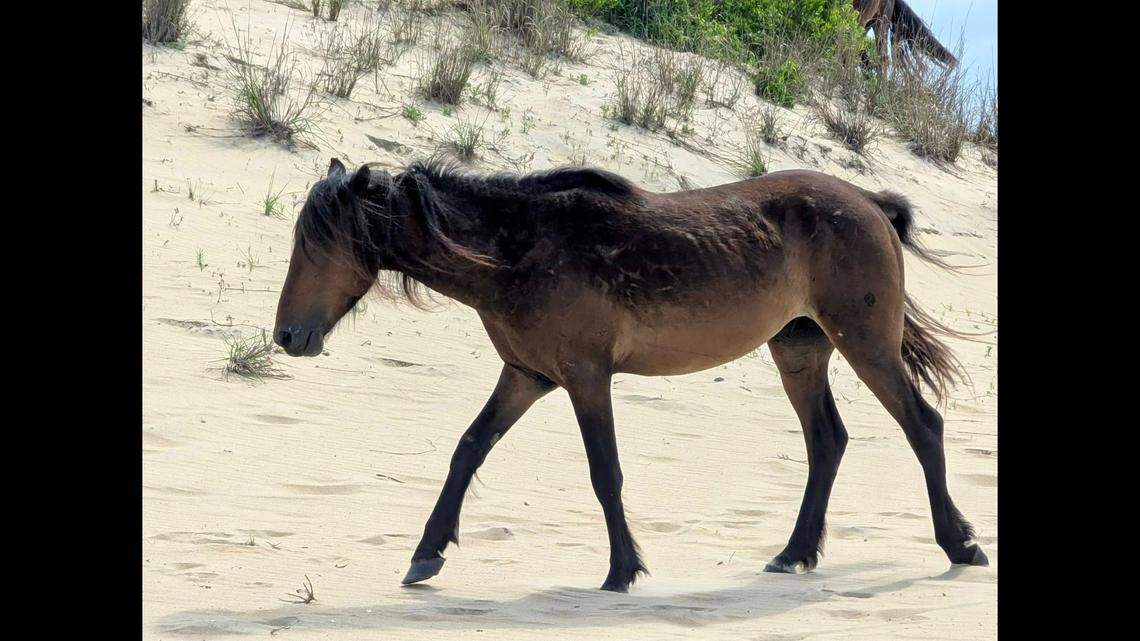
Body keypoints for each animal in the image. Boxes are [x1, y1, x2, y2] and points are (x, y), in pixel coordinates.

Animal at [273, 157, 989, 592]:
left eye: (320, 244)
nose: (286, 337)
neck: (519, 249)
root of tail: (867, 200)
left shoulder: (586, 378)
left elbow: (604, 473)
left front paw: (622, 570)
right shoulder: (525, 375)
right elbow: (468, 450)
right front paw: (426, 553)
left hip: (867, 344)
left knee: (923, 426)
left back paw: (960, 545)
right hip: (800, 351)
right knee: (827, 443)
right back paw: (794, 553)